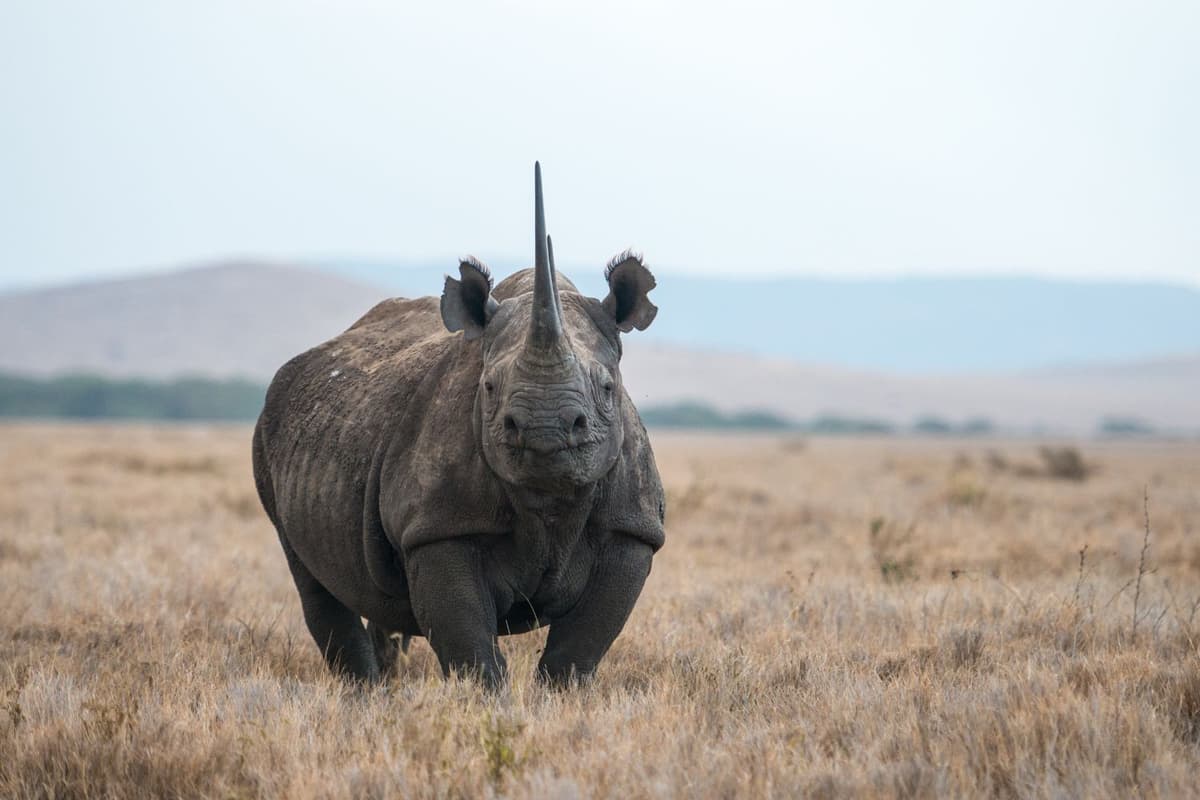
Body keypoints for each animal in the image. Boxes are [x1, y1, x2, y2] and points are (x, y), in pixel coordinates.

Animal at [252, 164, 665, 687]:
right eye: (487, 387)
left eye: (608, 388)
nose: (543, 430)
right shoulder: (439, 526)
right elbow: (469, 648)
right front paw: (485, 701)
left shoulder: (631, 527)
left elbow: (578, 650)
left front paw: (560, 700)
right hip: (267, 436)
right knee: (313, 580)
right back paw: (365, 693)